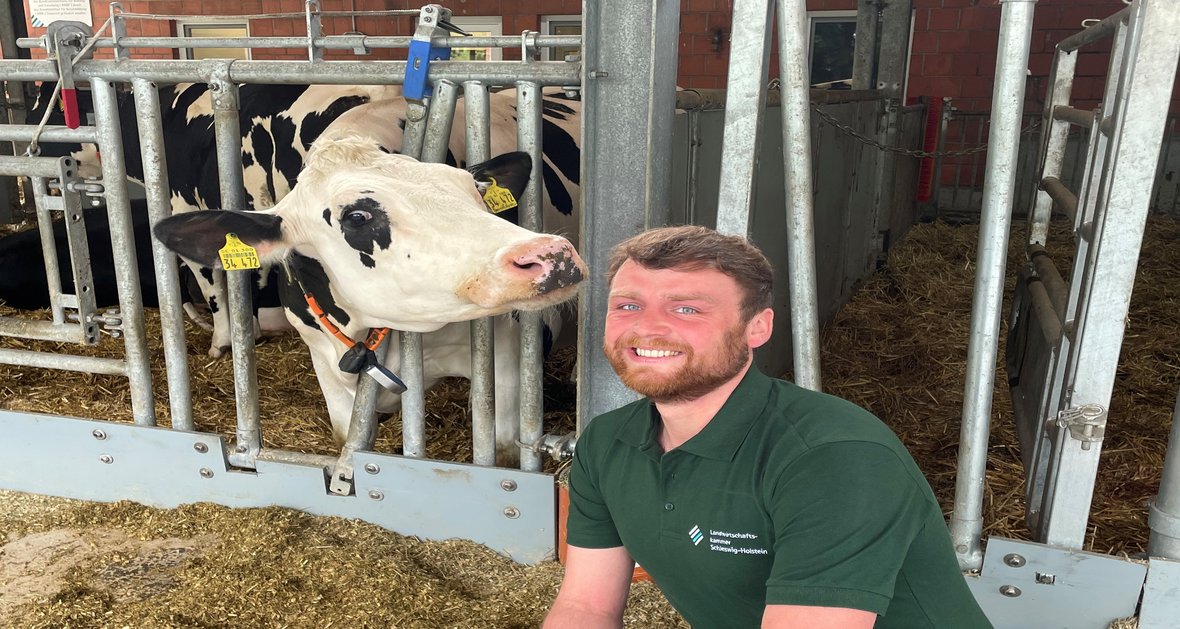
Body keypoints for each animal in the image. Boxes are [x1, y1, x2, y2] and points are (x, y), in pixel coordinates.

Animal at [153, 136, 586, 465]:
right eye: (357, 217)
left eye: (474, 191)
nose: (552, 254)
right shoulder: (325, 364)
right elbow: (348, 437)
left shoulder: (509, 357)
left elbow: (505, 449)